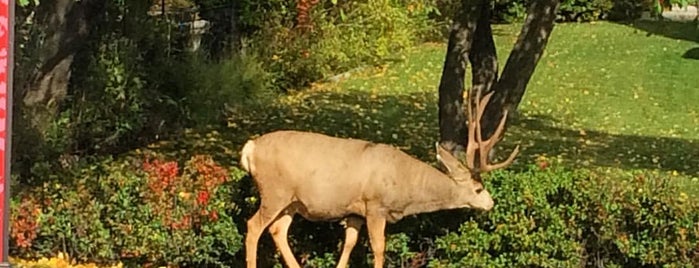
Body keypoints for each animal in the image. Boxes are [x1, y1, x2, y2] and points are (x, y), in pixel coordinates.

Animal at [241, 91, 520, 266]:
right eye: (478, 189)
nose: (491, 203)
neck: (405, 186)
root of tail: (250, 149)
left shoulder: (355, 210)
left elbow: (350, 243)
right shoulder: (375, 206)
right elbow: (378, 247)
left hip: (292, 201)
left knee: (277, 230)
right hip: (274, 191)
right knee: (254, 226)